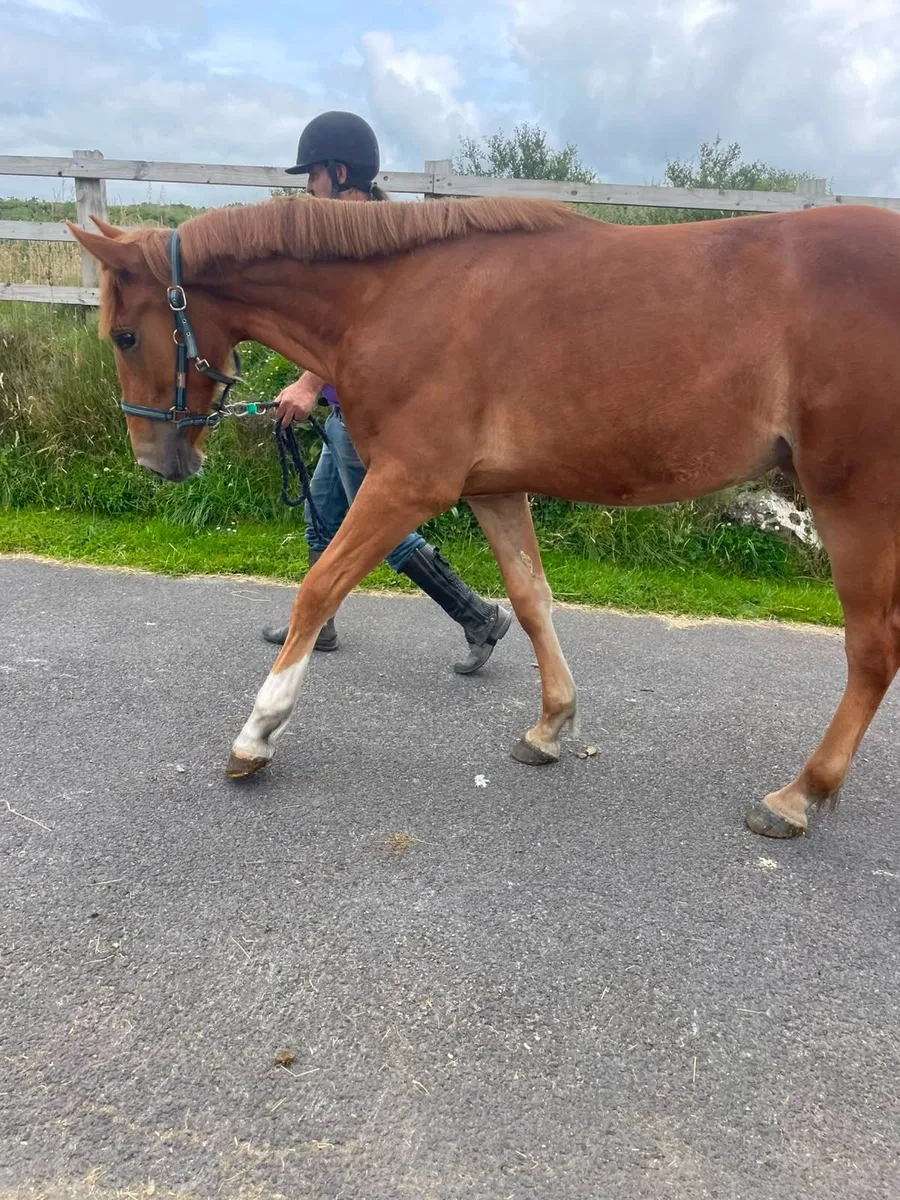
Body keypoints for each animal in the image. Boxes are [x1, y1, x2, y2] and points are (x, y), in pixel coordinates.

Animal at [69, 194, 900, 840]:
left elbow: (318, 588)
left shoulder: (407, 483)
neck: (391, 298)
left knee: (871, 649)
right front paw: (550, 725)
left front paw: (256, 734)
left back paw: (798, 796)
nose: (156, 461)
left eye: (126, 334)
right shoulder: (493, 490)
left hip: (853, 495)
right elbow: (530, 602)